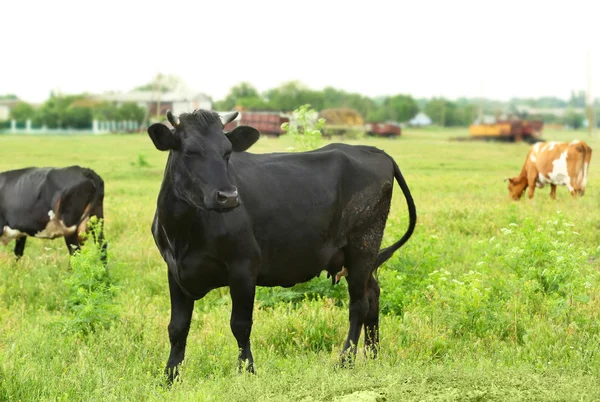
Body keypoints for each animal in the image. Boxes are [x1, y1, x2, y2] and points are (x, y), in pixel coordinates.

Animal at [148, 109, 414, 380]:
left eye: (227, 152)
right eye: (190, 151)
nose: (229, 196)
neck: (184, 234)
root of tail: (374, 150)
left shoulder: (244, 267)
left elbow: (240, 325)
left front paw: (247, 371)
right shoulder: (174, 271)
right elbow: (177, 327)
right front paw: (170, 376)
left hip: (363, 247)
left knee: (359, 304)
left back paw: (345, 360)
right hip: (360, 258)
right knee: (373, 294)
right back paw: (372, 355)